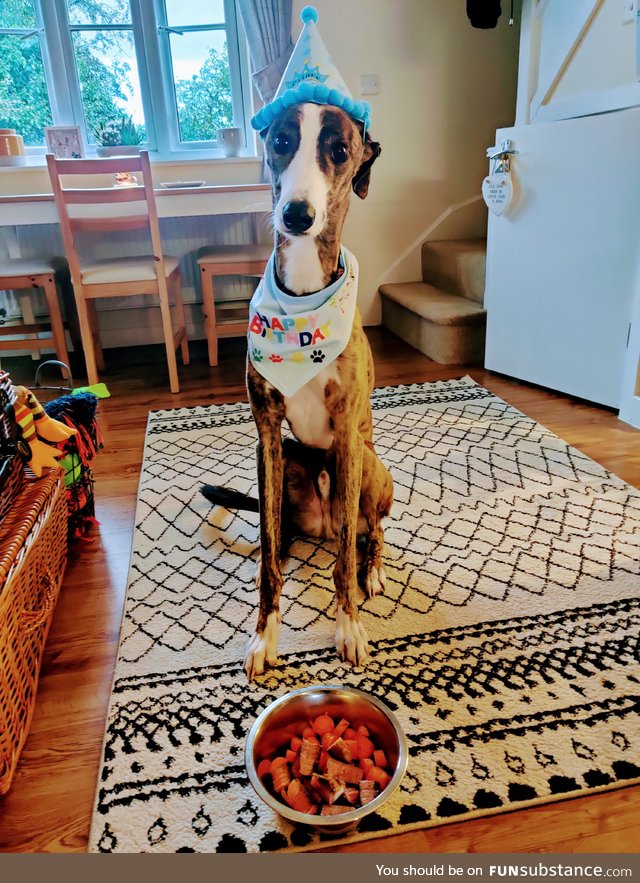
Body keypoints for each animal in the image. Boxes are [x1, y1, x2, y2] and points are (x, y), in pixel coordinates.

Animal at [210, 105, 392, 684]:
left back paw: (372, 571)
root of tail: (324, 525)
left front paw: (349, 627)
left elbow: (343, 565)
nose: (296, 214)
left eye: (340, 151)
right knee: (286, 533)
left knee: (370, 534)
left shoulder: (348, 435)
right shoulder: (267, 434)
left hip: (371, 468)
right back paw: (282, 554)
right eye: (281, 142)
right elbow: (269, 550)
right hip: (288, 462)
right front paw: (264, 636)